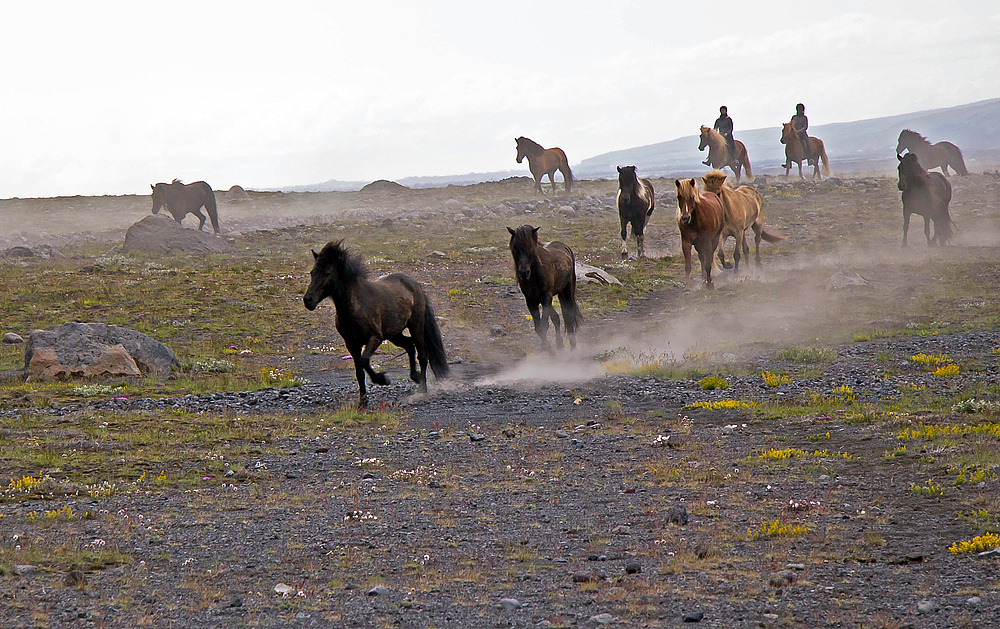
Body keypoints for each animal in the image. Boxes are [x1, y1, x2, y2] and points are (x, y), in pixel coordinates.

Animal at [300, 239, 450, 408]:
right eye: (312, 273)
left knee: (422, 354)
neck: (355, 306)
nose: (308, 300)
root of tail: (415, 285)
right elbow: (359, 372)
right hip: (394, 334)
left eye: (327, 273)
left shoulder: (375, 338)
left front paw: (383, 379)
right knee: (409, 347)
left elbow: (364, 361)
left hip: (415, 326)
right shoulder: (351, 344)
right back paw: (415, 377)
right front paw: (363, 402)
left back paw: (422, 389)